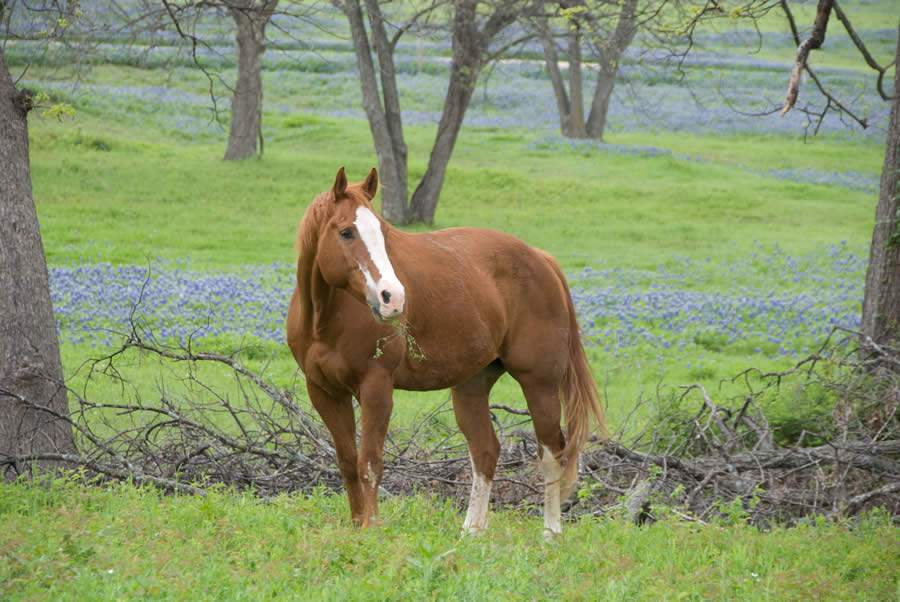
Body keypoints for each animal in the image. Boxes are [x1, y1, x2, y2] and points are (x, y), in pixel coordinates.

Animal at [284, 165, 604, 536]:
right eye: (347, 232)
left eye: (382, 232)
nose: (392, 297)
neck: (325, 318)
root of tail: (540, 258)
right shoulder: (324, 391)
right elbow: (348, 462)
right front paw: (355, 526)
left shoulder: (376, 388)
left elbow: (370, 462)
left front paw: (372, 527)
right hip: (471, 386)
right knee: (485, 451)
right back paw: (471, 532)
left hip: (539, 383)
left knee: (552, 453)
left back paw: (551, 533)